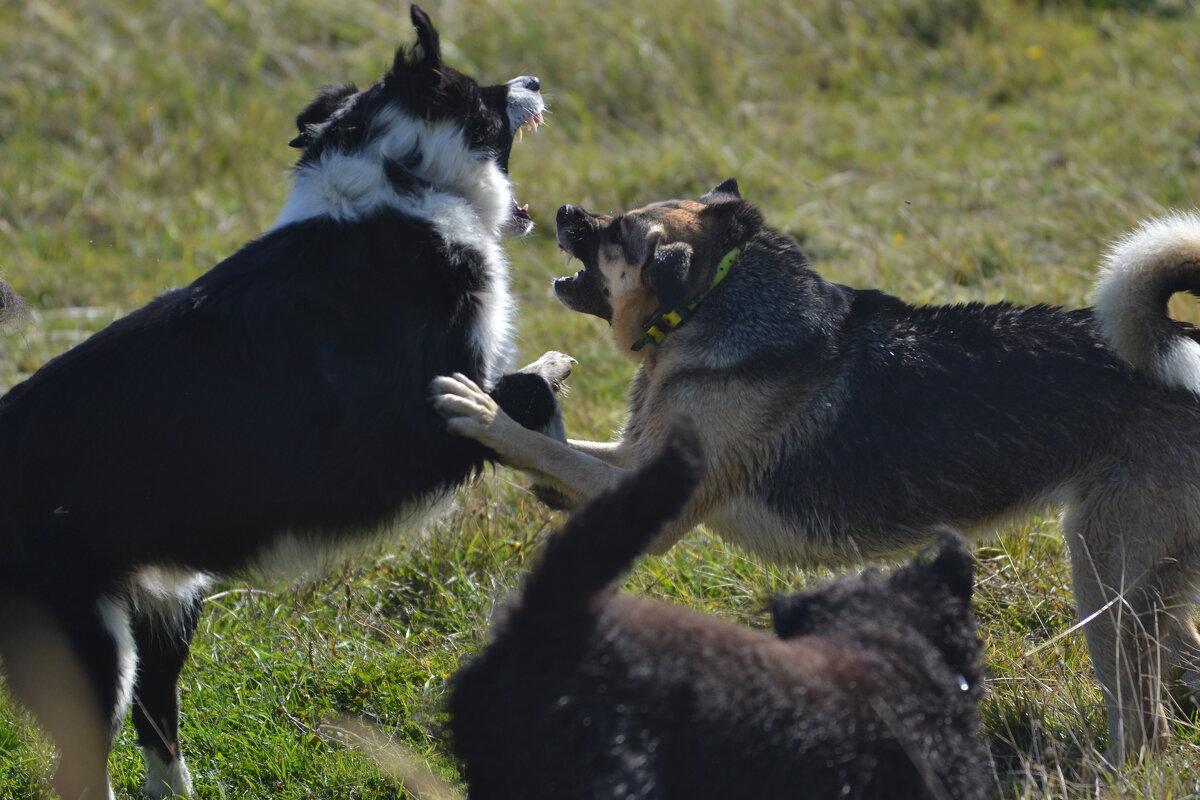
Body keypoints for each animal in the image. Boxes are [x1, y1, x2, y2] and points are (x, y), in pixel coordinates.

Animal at [0, 7, 552, 800]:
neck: (401, 188)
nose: (533, 80)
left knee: (157, 724)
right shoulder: (402, 438)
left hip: (166, 604)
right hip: (87, 641)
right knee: (85, 763)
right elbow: (520, 395)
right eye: (484, 94)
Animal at [434, 183, 1200, 762]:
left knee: (1145, 726)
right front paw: (534, 391)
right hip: (1142, 581)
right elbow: (559, 449)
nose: (562, 210)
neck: (712, 301)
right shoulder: (633, 462)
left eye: (616, 231)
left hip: (1101, 574)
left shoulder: (660, 500)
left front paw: (482, 410)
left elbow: (542, 451)